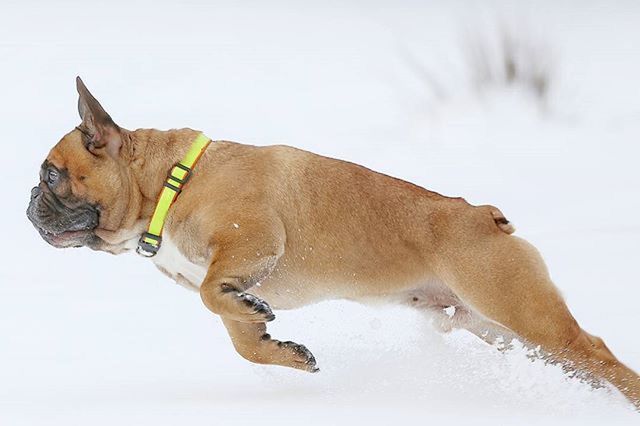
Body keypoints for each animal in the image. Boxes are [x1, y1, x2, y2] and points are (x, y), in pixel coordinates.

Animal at [26, 77, 640, 410]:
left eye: (52, 175)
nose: (29, 199)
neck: (169, 184)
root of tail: (484, 216)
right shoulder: (228, 276)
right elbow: (239, 331)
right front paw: (283, 351)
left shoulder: (251, 241)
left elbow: (213, 295)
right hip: (501, 328)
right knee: (585, 363)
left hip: (523, 311)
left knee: (599, 354)